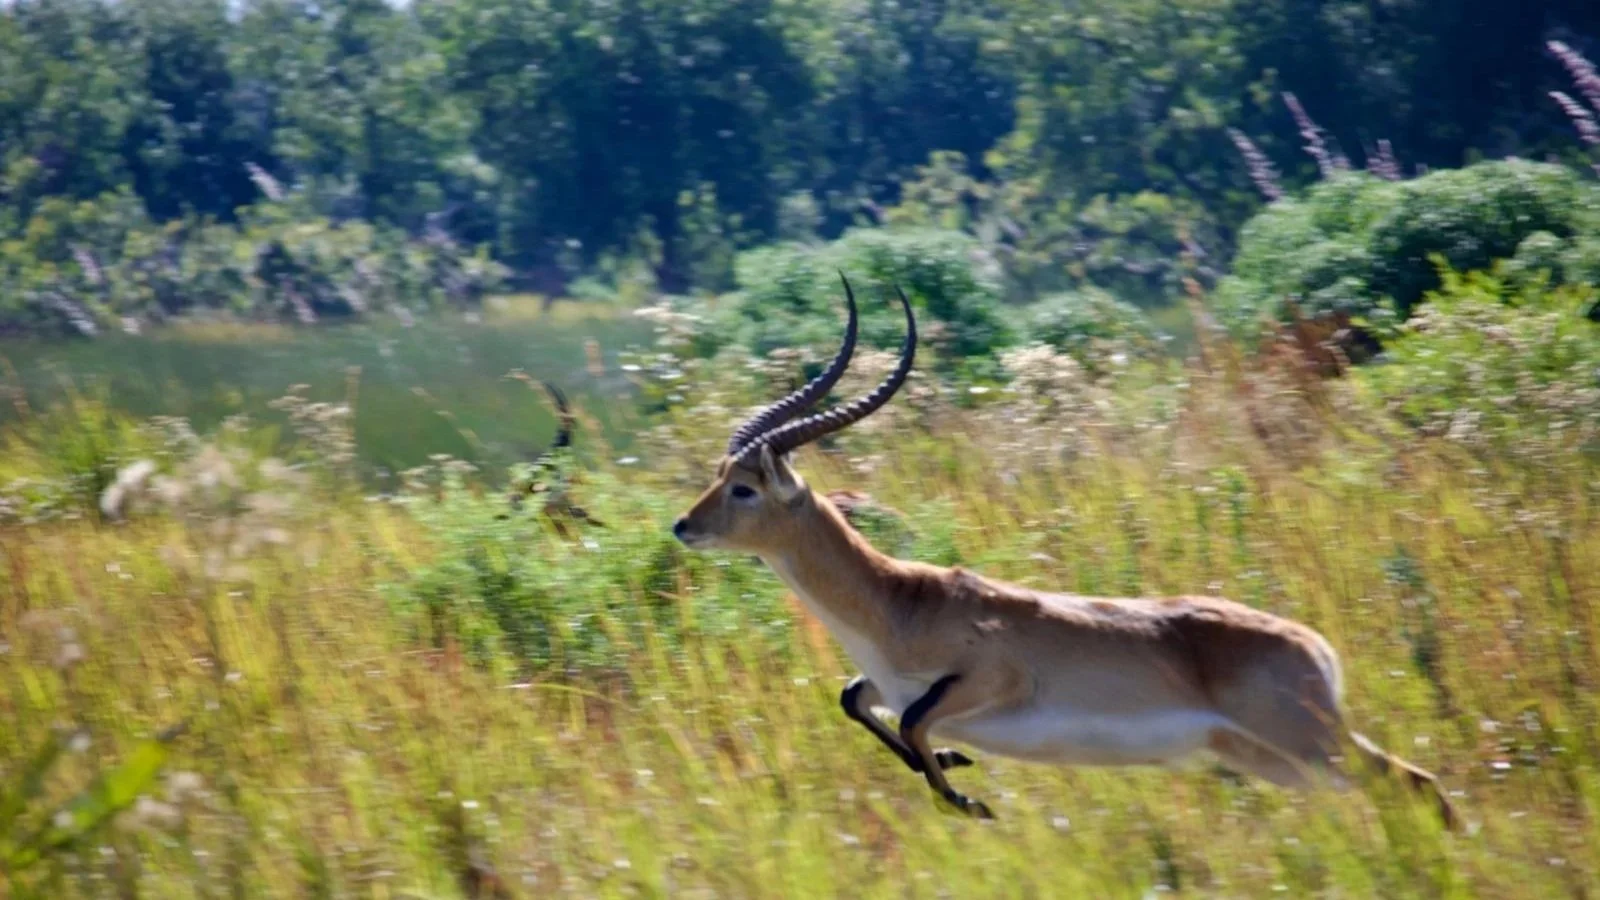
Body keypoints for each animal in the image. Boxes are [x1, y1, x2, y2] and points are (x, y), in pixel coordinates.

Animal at [671, 275, 1462, 829]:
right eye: (719, 471)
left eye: (744, 486)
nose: (683, 526)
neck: (899, 604)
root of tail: (1312, 644)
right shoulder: (879, 686)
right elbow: (860, 703)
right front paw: (956, 766)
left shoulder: (991, 677)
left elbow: (915, 720)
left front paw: (970, 798)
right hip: (1273, 758)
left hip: (1306, 741)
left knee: (1419, 785)